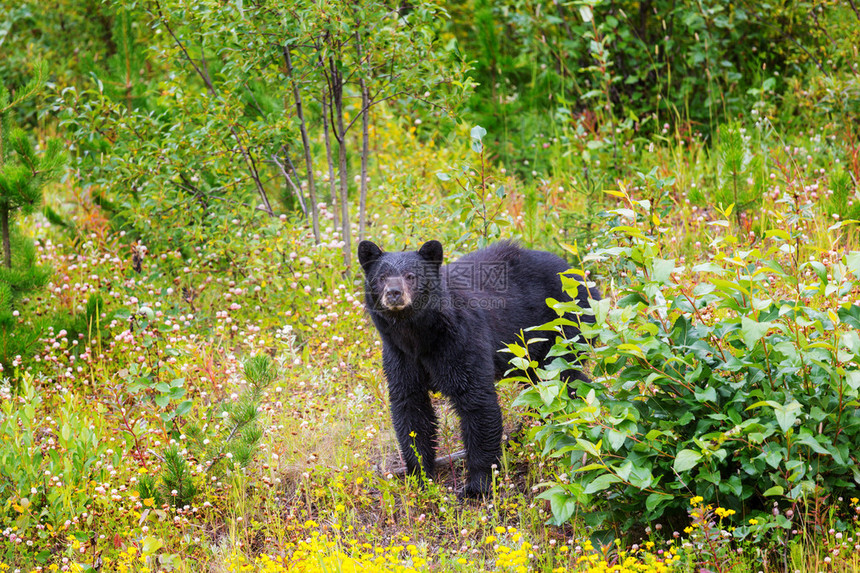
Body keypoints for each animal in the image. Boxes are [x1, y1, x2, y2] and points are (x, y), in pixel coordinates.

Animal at [358, 238, 596, 496]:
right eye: (382, 277)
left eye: (411, 276)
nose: (394, 293)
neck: (418, 336)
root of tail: (577, 272)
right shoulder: (400, 355)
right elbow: (410, 407)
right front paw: (420, 476)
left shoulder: (460, 340)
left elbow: (475, 400)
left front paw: (477, 484)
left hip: (562, 326)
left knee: (562, 378)